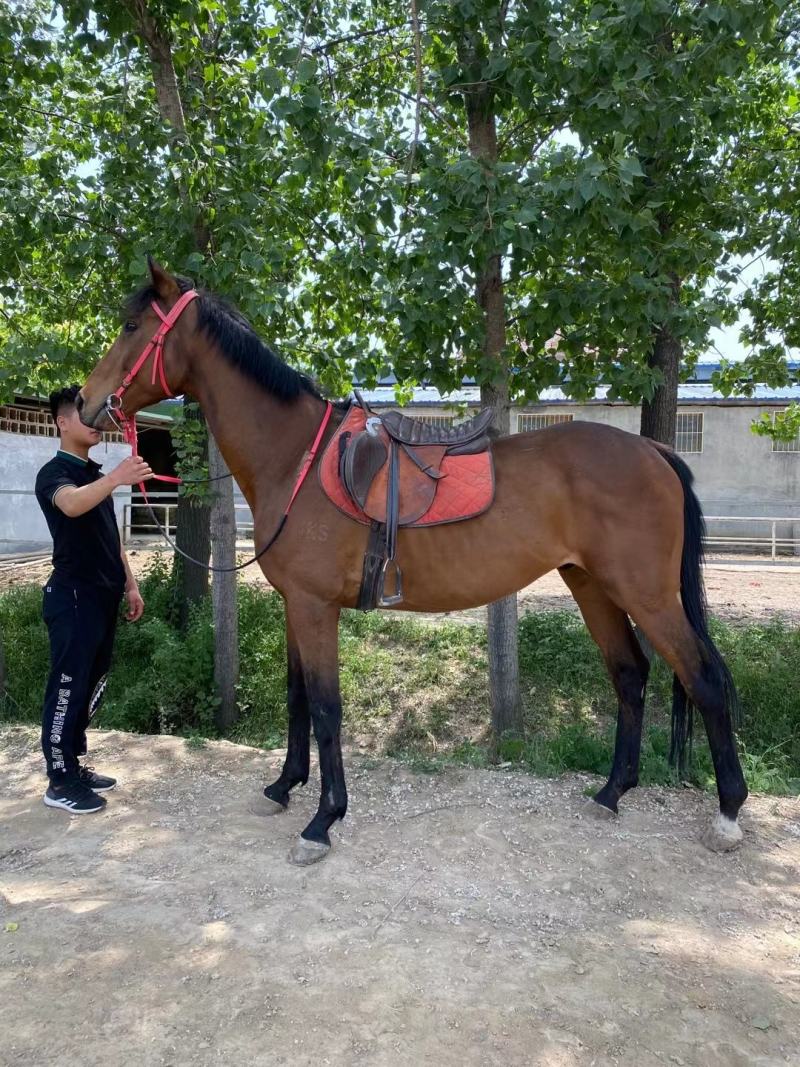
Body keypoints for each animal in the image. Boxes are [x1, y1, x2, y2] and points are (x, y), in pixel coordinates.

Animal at [78, 259, 748, 864]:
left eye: (132, 324)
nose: (84, 404)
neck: (293, 458)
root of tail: (654, 450)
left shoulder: (316, 609)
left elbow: (326, 707)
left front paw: (323, 820)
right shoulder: (297, 605)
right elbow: (298, 699)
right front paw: (283, 787)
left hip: (648, 595)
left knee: (705, 680)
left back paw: (728, 813)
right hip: (593, 586)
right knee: (630, 675)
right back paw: (611, 793)